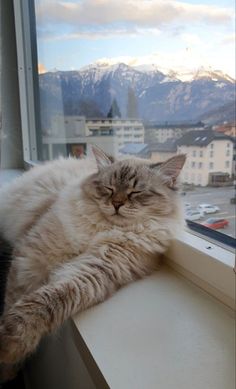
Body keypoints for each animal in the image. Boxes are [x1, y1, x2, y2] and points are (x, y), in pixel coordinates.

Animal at [0, 147, 185, 380]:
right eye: (109, 188)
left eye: (135, 192)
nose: (117, 204)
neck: (103, 228)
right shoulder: (31, 259)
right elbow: (13, 301)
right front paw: (7, 361)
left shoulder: (95, 269)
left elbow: (47, 301)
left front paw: (10, 351)